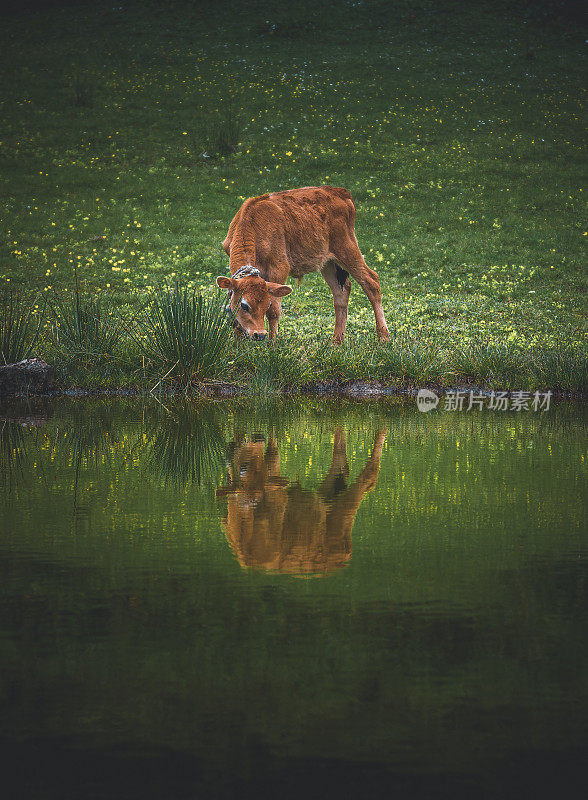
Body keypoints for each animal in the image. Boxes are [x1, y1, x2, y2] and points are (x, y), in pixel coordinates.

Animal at [216, 188, 390, 344]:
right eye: (244, 305)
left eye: (267, 304)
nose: (260, 334)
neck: (251, 222)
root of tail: (341, 192)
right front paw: (238, 341)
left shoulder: (279, 269)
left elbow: (275, 311)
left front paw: (272, 344)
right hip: (327, 262)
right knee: (341, 291)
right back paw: (337, 340)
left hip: (347, 249)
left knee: (371, 281)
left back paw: (383, 336)